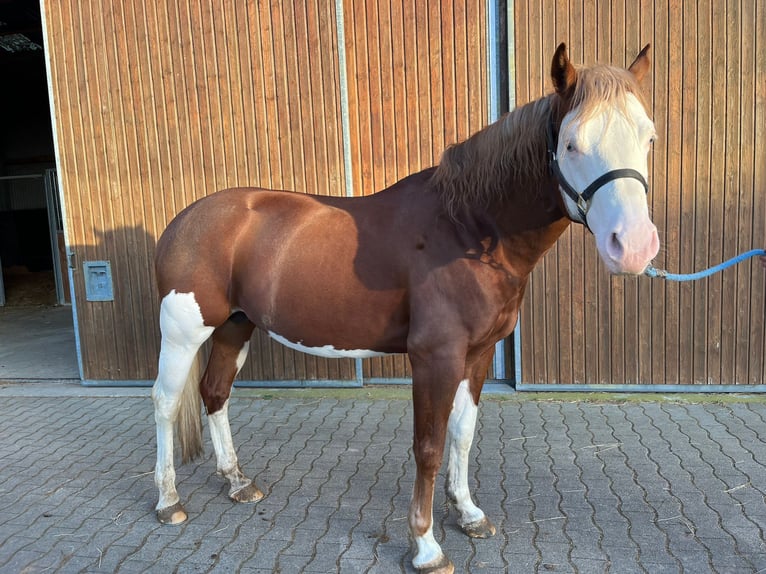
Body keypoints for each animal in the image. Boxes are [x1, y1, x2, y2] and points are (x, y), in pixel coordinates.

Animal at [151, 43, 660, 574]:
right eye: (572, 143)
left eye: (648, 137)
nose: (634, 246)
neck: (466, 227)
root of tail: (184, 220)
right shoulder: (434, 358)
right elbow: (429, 447)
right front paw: (426, 545)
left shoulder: (477, 356)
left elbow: (462, 435)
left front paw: (469, 513)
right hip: (183, 333)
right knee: (165, 402)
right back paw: (168, 501)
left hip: (235, 326)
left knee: (215, 393)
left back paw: (237, 482)